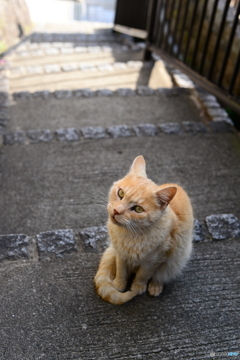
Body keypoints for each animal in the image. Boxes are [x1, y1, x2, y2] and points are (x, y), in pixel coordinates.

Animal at [94, 155, 193, 304]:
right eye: (121, 193)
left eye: (138, 209)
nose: (117, 211)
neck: (130, 235)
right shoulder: (120, 254)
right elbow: (121, 270)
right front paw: (119, 284)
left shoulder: (155, 259)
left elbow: (143, 275)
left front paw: (138, 287)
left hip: (176, 260)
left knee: (161, 275)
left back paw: (155, 287)